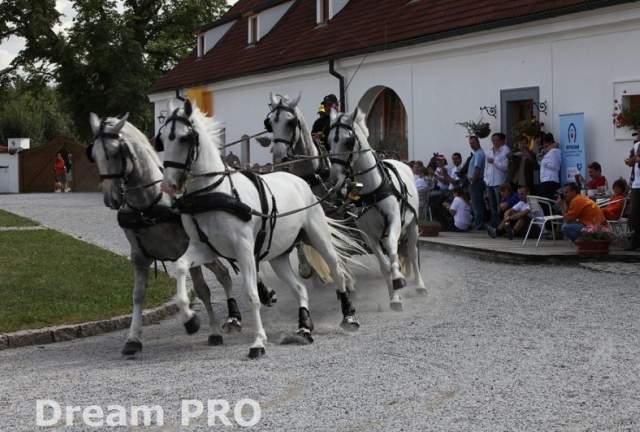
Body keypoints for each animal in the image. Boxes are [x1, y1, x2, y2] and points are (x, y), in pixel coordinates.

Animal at [87, 112, 264, 354]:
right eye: (93, 154)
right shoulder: (139, 256)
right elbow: (138, 295)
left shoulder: (188, 248)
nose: (111, 199)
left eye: (115, 152)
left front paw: (200, 325)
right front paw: (133, 338)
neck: (149, 205)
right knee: (224, 275)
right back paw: (233, 316)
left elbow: (202, 290)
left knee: (226, 275)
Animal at [158, 100, 362, 358]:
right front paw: (189, 318)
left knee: (337, 271)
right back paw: (304, 328)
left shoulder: (244, 249)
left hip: (317, 237)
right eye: (162, 138)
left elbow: (252, 293)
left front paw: (258, 341)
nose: (168, 185)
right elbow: (181, 266)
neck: (214, 192)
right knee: (299, 288)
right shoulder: (205, 248)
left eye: (184, 138)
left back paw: (349, 316)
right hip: (278, 255)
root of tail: (299, 179)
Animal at [324, 108, 424, 310]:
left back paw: (419, 285)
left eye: (348, 141)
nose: (334, 179)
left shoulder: (394, 221)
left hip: (412, 225)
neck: (372, 190)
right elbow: (384, 265)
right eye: (328, 142)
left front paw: (399, 277)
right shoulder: (368, 235)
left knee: (411, 251)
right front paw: (394, 297)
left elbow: (392, 249)